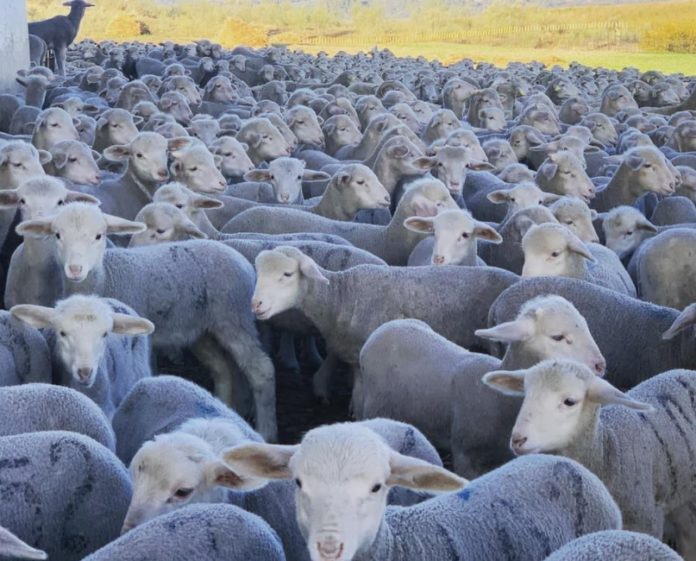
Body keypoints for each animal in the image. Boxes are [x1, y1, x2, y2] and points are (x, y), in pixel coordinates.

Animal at [484, 360, 696, 559]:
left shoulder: (647, 520)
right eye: (526, 394)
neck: (608, 449)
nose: (517, 440)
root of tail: (686, 371)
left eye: (569, 401)